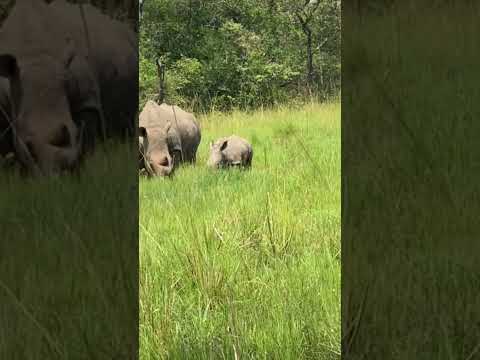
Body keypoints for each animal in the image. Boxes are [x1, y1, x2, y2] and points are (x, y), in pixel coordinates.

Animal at [0, 0, 137, 175]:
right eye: (27, 143)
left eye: (76, 132)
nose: (56, 173)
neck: (34, 56)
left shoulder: (86, 101)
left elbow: (87, 139)